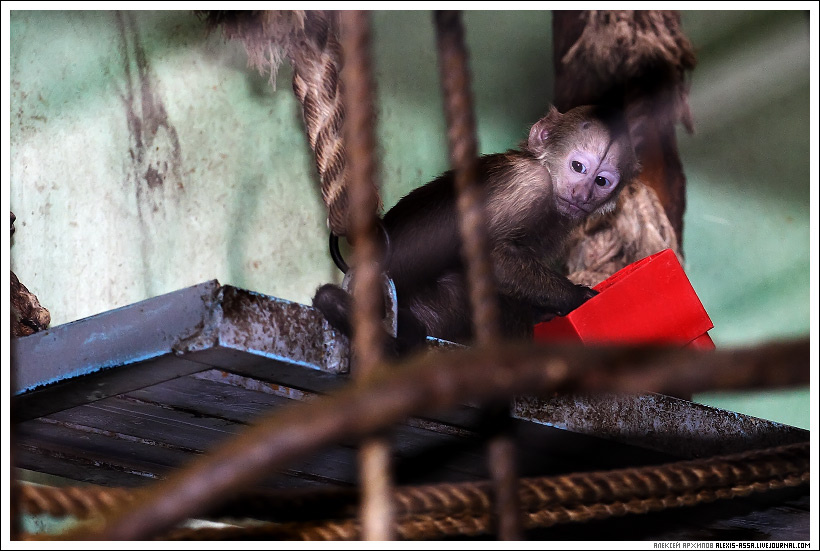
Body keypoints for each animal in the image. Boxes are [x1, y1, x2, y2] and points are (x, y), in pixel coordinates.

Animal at [313, 104, 639, 353]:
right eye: (578, 167)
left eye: (601, 181)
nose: (581, 195)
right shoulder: (529, 184)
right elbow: (493, 257)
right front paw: (576, 296)